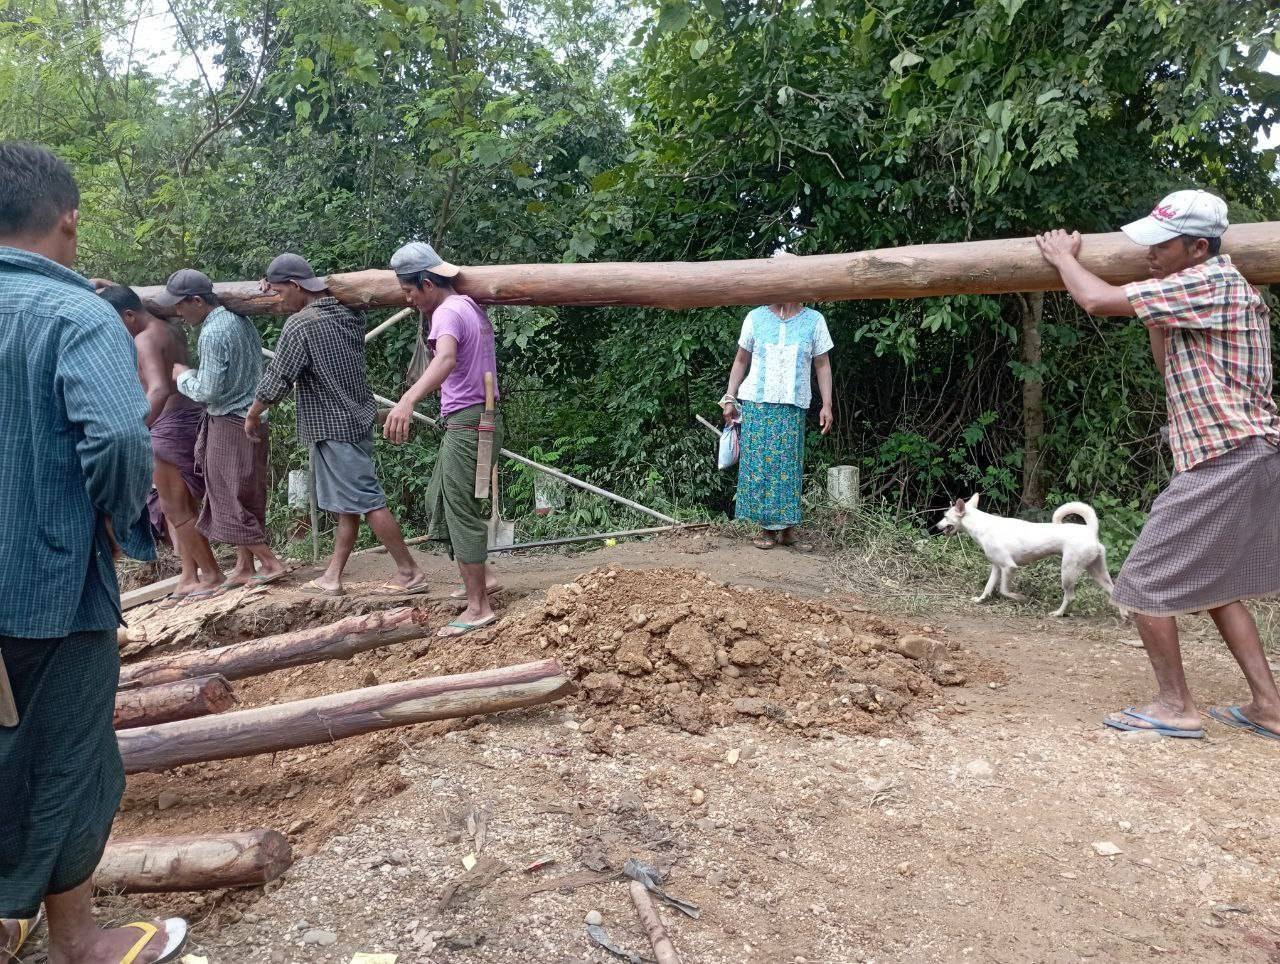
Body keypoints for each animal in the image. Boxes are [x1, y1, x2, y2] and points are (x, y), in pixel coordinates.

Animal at [936, 491, 1116, 619]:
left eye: (945, 517)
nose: (936, 526)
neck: (981, 527)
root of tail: (1090, 530)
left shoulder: (1009, 567)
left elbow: (1004, 590)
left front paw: (1020, 598)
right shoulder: (997, 567)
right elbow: (988, 587)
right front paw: (980, 600)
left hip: (1068, 572)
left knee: (1070, 597)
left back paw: (1058, 613)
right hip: (1097, 572)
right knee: (1112, 590)